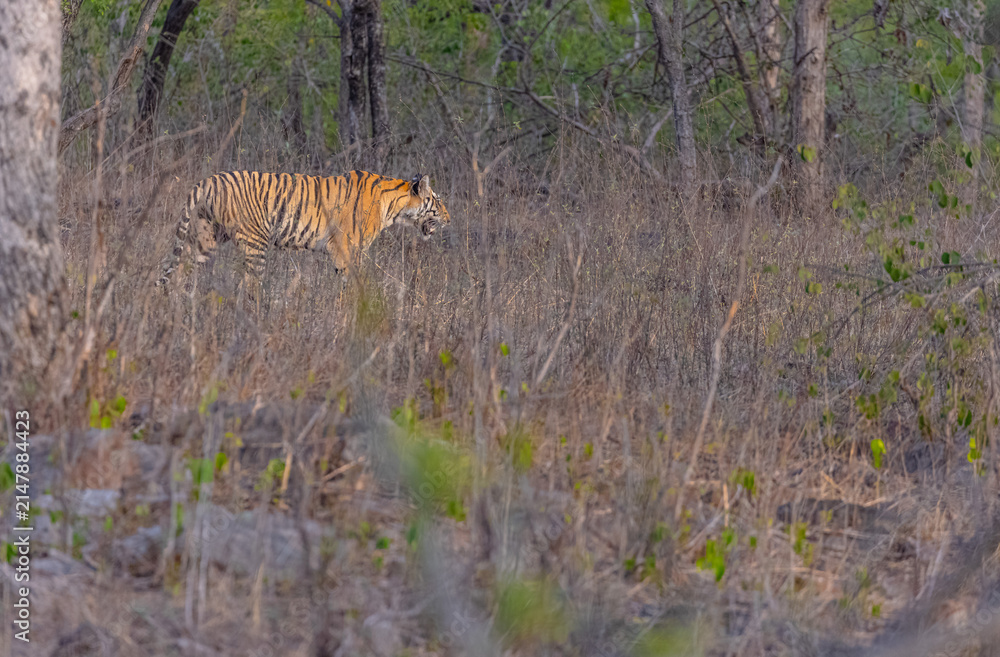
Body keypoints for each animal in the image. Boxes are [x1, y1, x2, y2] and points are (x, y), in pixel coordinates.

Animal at [155, 170, 450, 293]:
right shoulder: (347, 249)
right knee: (249, 284)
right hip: (255, 242)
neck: (394, 207)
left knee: (178, 274)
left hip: (204, 239)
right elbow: (355, 283)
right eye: (437, 200)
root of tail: (206, 181)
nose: (449, 218)